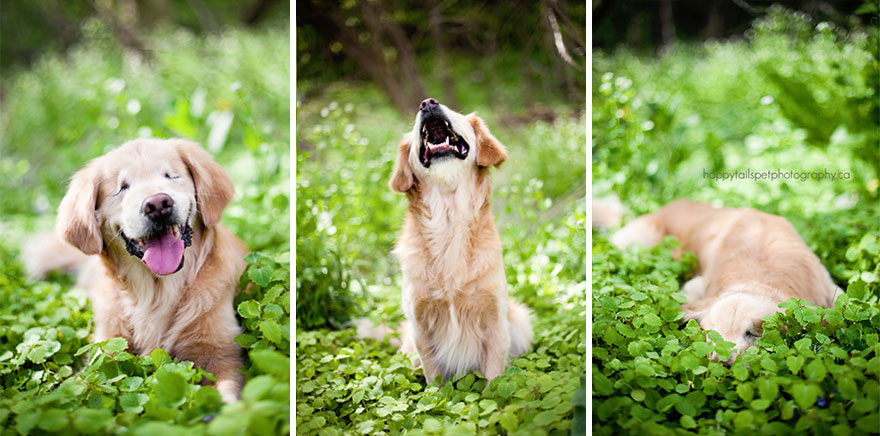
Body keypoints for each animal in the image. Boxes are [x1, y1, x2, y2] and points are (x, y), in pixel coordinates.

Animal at [29, 139, 246, 402]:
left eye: (171, 175)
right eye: (122, 188)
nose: (158, 204)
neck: (157, 292)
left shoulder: (221, 354)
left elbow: (227, 392)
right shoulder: (105, 349)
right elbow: (81, 383)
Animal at [608, 199, 844, 362]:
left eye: (753, 334)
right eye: (711, 334)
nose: (722, 363)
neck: (757, 276)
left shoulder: (826, 285)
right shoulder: (695, 287)